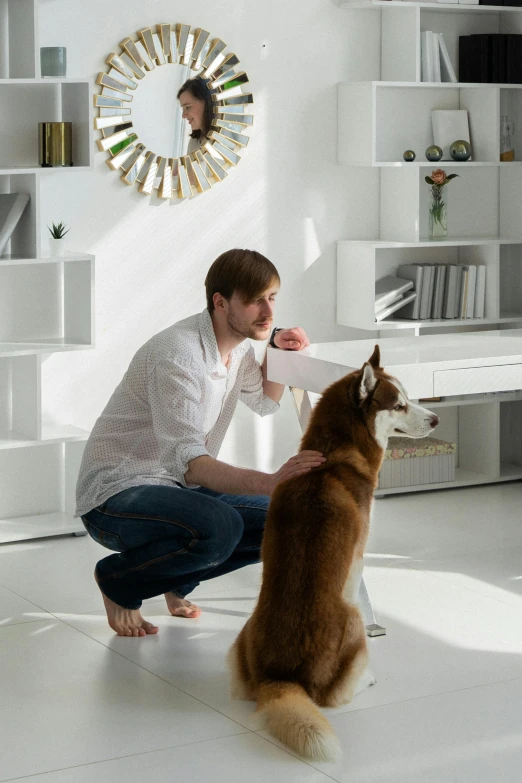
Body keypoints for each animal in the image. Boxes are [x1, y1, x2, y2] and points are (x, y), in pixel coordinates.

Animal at [225, 346, 436, 764]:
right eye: (400, 405)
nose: (436, 418)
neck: (332, 455)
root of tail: (282, 679)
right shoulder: (356, 564)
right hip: (352, 623)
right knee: (338, 693)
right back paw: (366, 678)